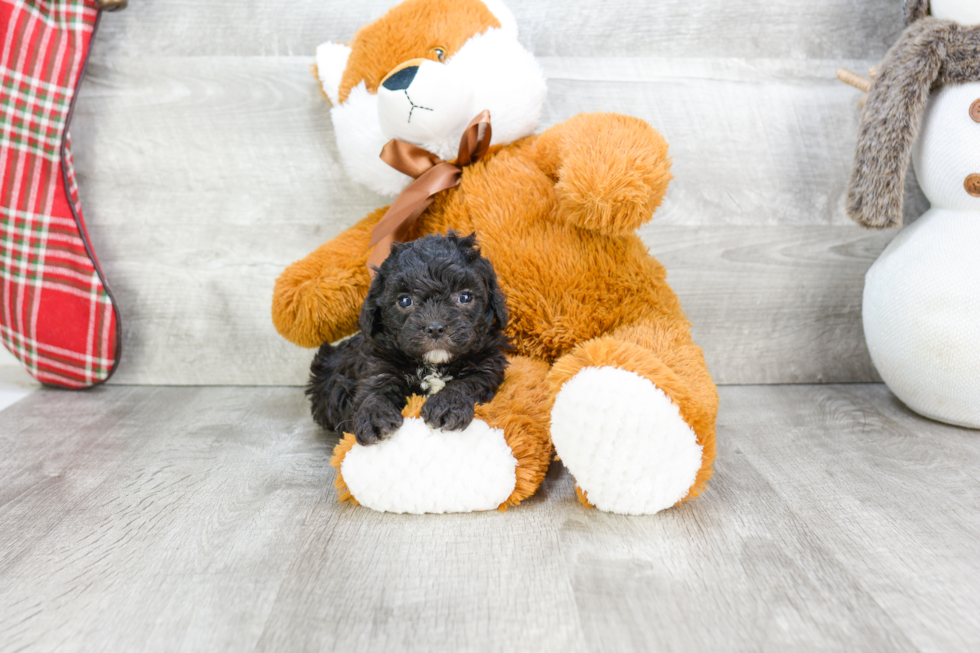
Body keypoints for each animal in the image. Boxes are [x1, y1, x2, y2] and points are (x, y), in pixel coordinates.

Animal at [306, 232, 510, 446]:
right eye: (405, 300)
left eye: (465, 297)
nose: (435, 328)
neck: (433, 365)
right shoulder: (378, 366)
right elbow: (373, 391)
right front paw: (373, 417)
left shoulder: (487, 366)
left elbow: (466, 383)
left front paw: (446, 404)